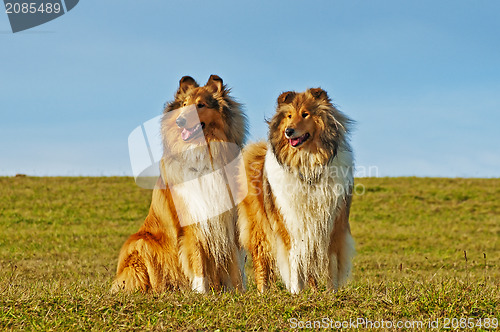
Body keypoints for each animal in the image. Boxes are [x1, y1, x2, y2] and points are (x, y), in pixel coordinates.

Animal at [112, 75, 247, 294]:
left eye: (200, 105)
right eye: (184, 105)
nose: (179, 120)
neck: (204, 155)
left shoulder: (229, 220)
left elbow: (234, 262)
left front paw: (240, 292)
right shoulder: (192, 219)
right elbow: (197, 258)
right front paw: (201, 292)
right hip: (141, 243)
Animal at [238, 87, 356, 294]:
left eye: (305, 114)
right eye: (289, 116)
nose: (289, 131)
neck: (308, 166)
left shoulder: (332, 225)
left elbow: (331, 264)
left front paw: (331, 293)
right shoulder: (290, 224)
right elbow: (294, 261)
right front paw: (296, 292)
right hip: (259, 228)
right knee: (262, 262)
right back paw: (263, 292)